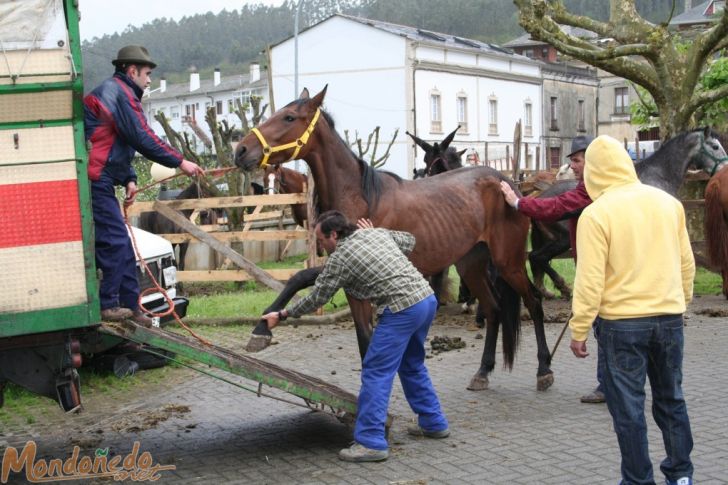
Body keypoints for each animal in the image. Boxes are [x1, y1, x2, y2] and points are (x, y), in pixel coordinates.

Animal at [237, 86, 552, 390]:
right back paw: (483, 372)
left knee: (534, 303)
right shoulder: (349, 281)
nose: (240, 150)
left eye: (289, 117)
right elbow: (347, 325)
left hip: (508, 262)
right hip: (471, 264)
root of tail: (508, 185)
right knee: (494, 310)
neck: (361, 196)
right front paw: (262, 328)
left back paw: (544, 369)